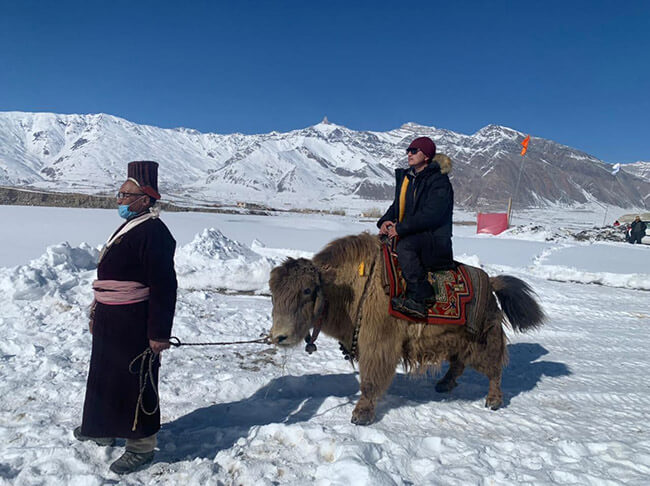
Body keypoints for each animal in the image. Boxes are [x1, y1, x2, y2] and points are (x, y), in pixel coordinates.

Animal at [268, 233, 545, 425]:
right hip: (456, 339)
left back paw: (493, 400)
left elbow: (370, 381)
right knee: (458, 363)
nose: (278, 336)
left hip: (482, 338)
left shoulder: (378, 345)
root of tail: (491, 281)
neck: (350, 287)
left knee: (494, 368)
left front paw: (361, 415)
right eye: (273, 293)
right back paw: (444, 384)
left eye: (307, 290)